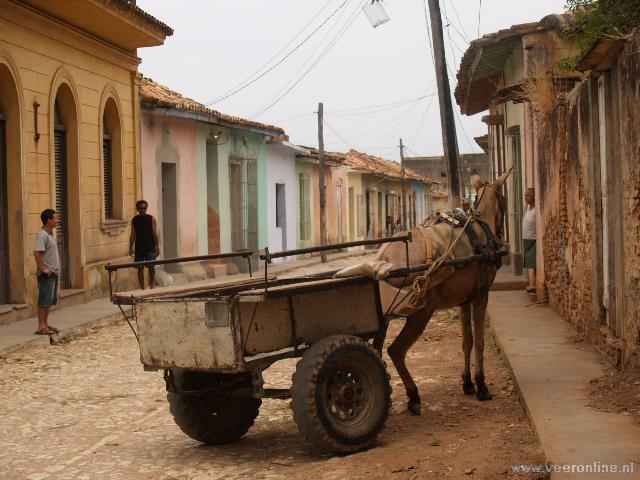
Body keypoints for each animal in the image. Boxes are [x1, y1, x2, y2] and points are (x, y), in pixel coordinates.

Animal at [376, 168, 510, 412]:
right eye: (503, 200)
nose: (502, 237)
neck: (480, 228)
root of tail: (383, 257)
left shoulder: (464, 300)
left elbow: (467, 341)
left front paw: (467, 383)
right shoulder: (481, 295)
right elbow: (480, 341)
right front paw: (481, 386)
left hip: (386, 315)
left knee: (378, 348)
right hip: (421, 312)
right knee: (396, 350)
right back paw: (413, 395)